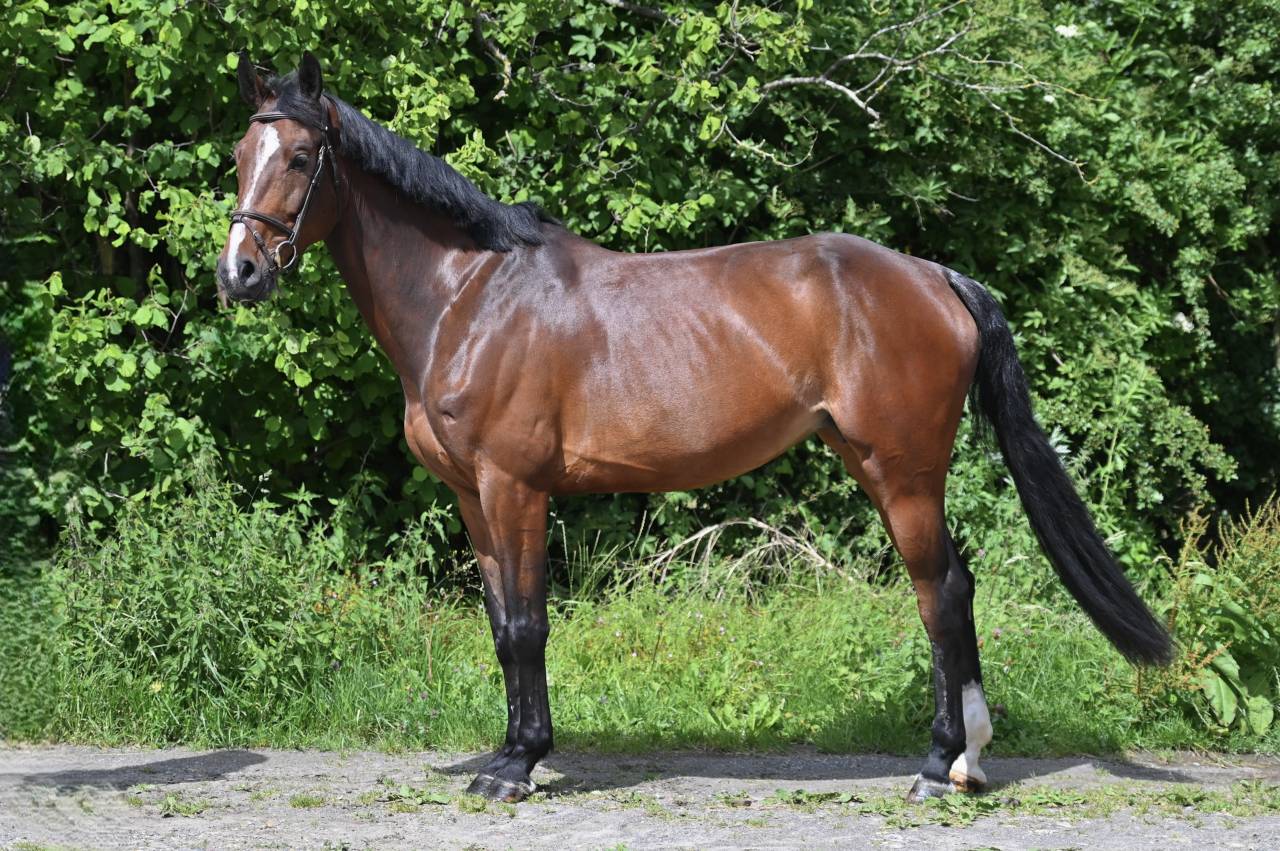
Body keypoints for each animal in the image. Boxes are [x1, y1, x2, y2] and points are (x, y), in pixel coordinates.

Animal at [217, 52, 1172, 804]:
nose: (240, 272)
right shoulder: (472, 497)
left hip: (900, 472)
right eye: (238, 156)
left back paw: (941, 766)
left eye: (300, 155)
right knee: (954, 586)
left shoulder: (514, 487)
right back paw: (966, 759)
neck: (471, 297)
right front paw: (510, 752)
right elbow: (499, 626)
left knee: (940, 593)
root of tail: (936, 276)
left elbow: (527, 625)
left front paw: (519, 766)